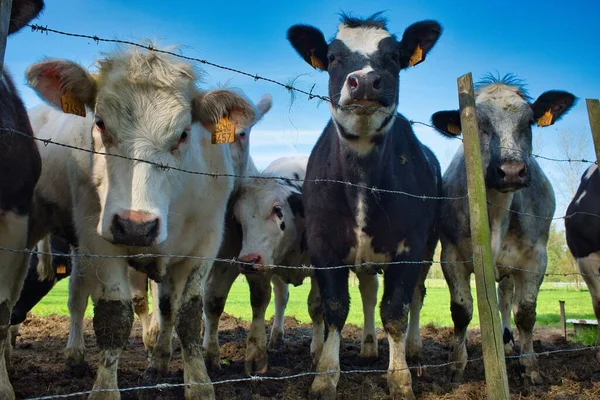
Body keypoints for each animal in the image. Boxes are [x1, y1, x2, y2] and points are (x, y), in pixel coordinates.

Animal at [25, 47, 255, 400]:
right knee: (75, 298)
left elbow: (187, 315)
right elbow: (114, 319)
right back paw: (75, 355)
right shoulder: (100, 241)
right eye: (100, 123)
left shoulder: (205, 243)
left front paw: (198, 383)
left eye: (184, 134)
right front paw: (104, 390)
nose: (136, 226)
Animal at [288, 13, 442, 400]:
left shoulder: (409, 248)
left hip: (428, 248)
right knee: (369, 292)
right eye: (332, 57)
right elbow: (335, 307)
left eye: (394, 57)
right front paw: (325, 375)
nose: (365, 83)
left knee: (416, 296)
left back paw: (412, 349)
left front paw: (400, 378)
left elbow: (396, 311)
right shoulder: (323, 246)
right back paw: (370, 346)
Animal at [432, 73, 576, 386]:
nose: (511, 170)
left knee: (505, 301)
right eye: (477, 124)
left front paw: (530, 366)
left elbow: (526, 313)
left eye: (529, 122)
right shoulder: (451, 255)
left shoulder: (536, 258)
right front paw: (456, 366)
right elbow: (461, 310)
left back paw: (508, 341)